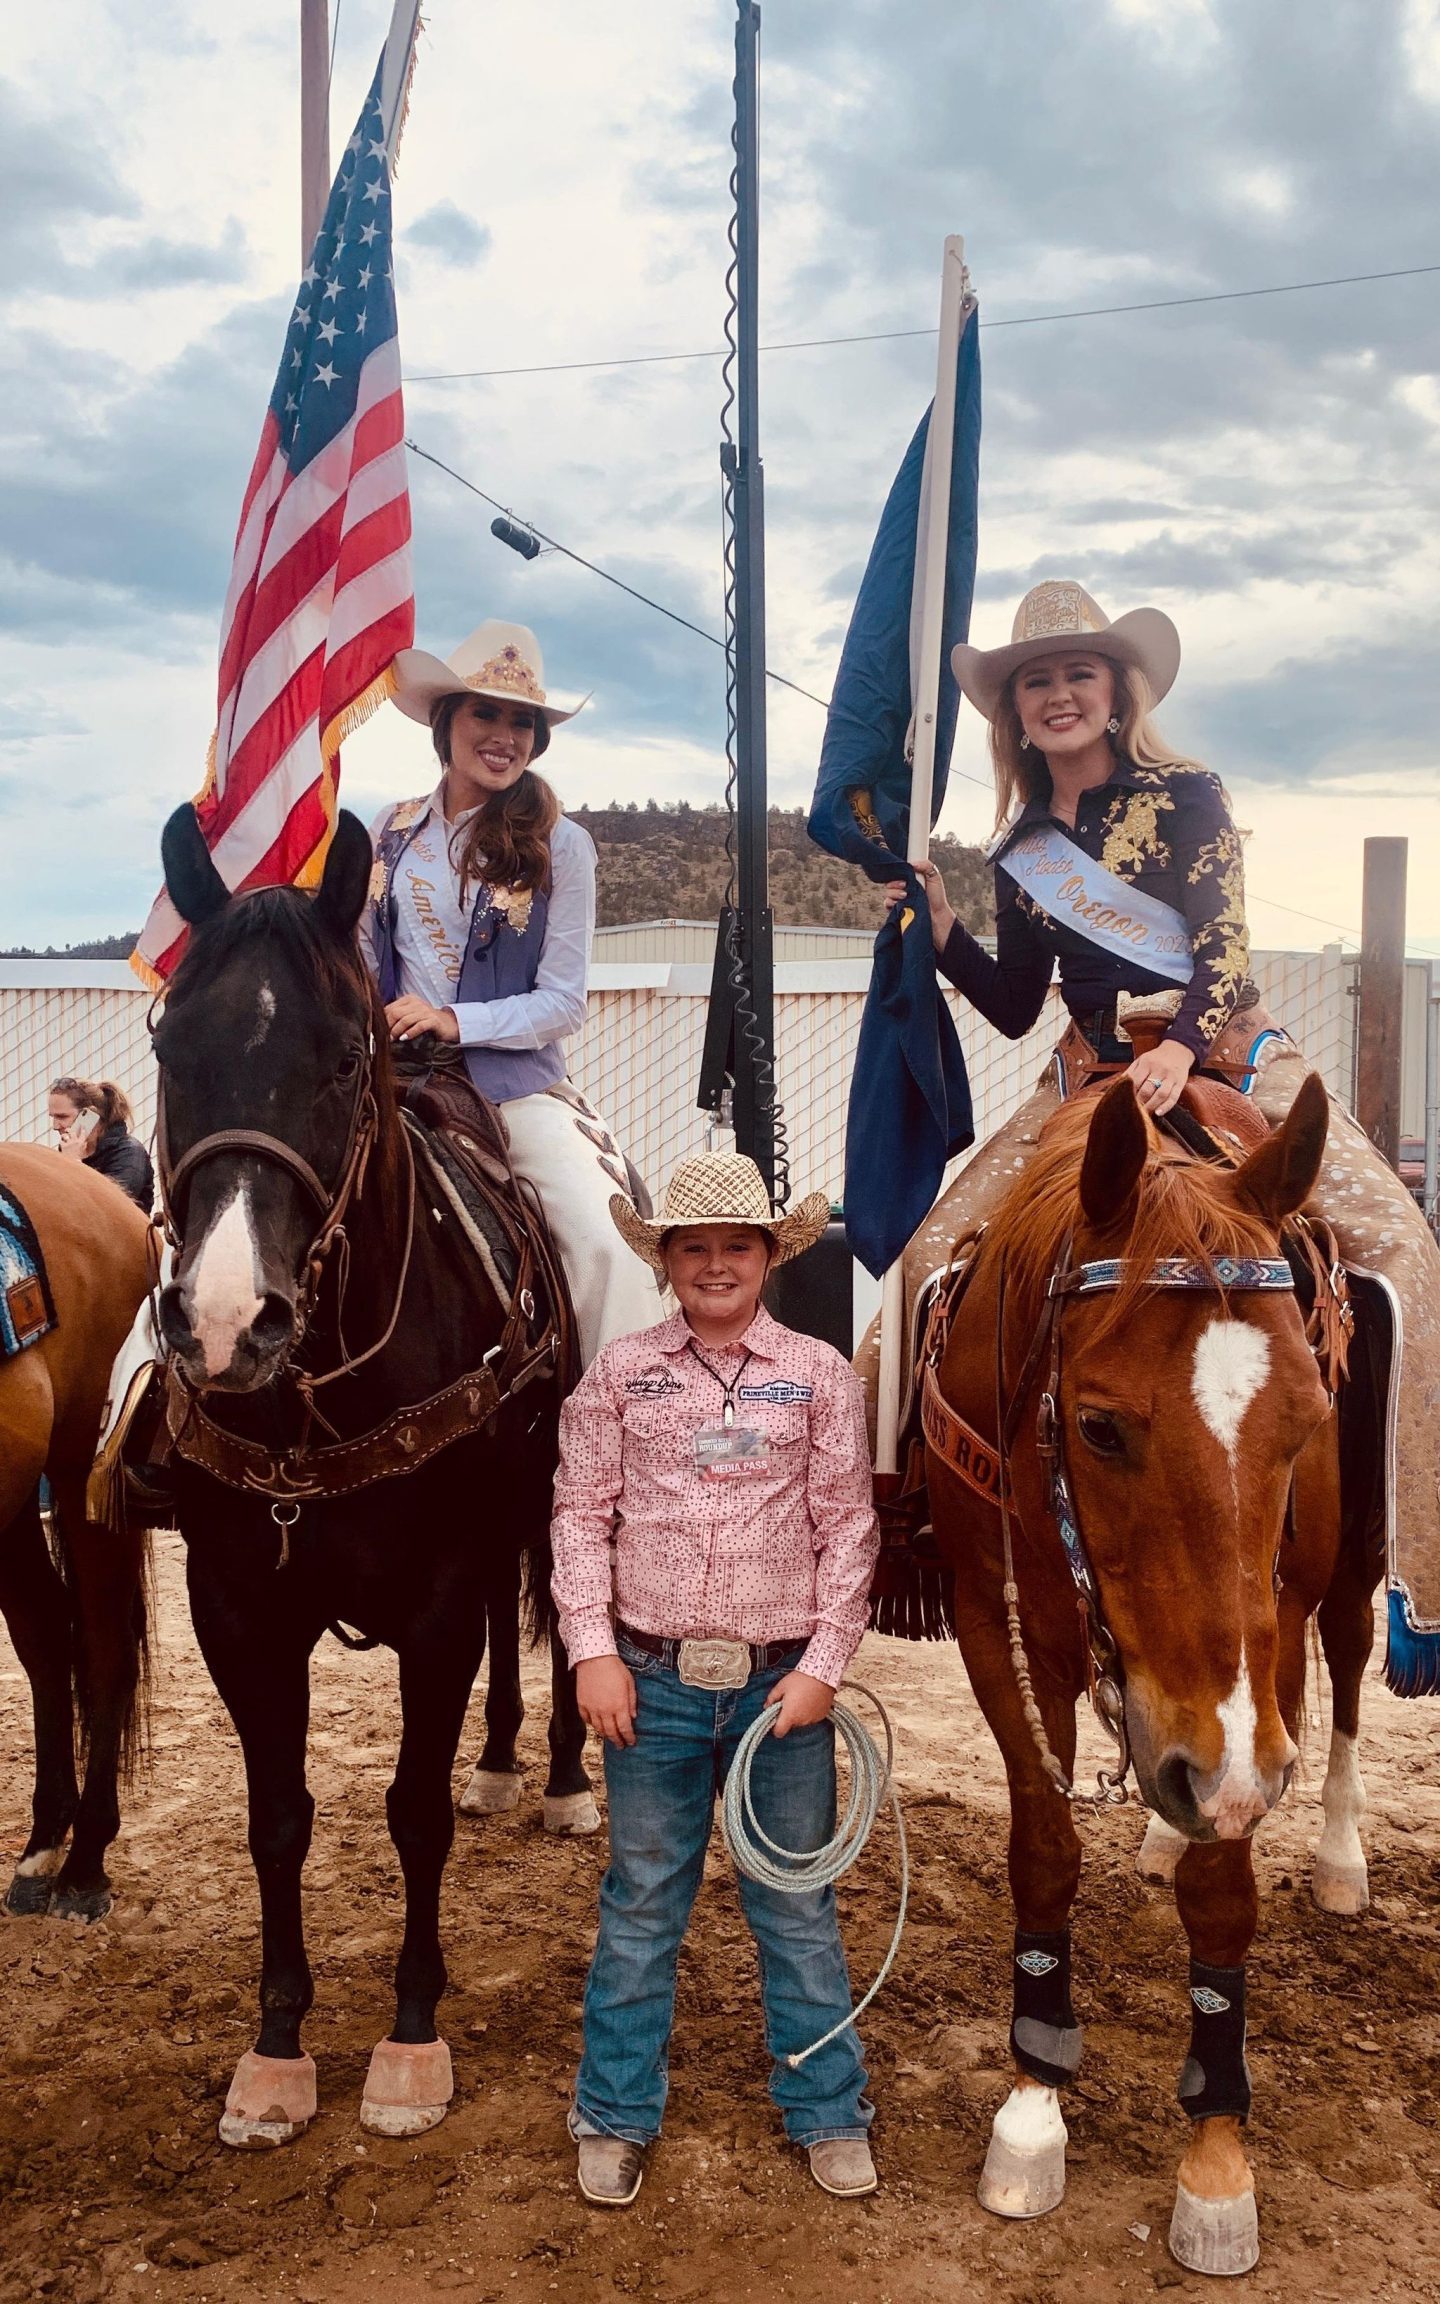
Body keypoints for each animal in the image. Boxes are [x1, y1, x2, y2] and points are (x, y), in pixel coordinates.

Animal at [151, 802, 590, 2148]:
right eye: (169, 1047)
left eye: (348, 1058)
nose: (228, 1323)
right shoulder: (239, 1613)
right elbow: (278, 1818)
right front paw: (277, 2049)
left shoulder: (436, 1609)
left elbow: (412, 1810)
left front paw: (409, 2038)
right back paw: (502, 1760)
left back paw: (560, 1777)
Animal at [923, 1070, 1383, 2277]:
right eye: (1098, 1427)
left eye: (1304, 1419)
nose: (1210, 1769)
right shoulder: (994, 1622)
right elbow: (1044, 1846)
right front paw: (1033, 2095)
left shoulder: (1264, 1659)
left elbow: (1224, 1887)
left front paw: (1217, 2153)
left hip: (1348, 1576)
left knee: (1352, 1664)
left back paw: (1339, 1855)